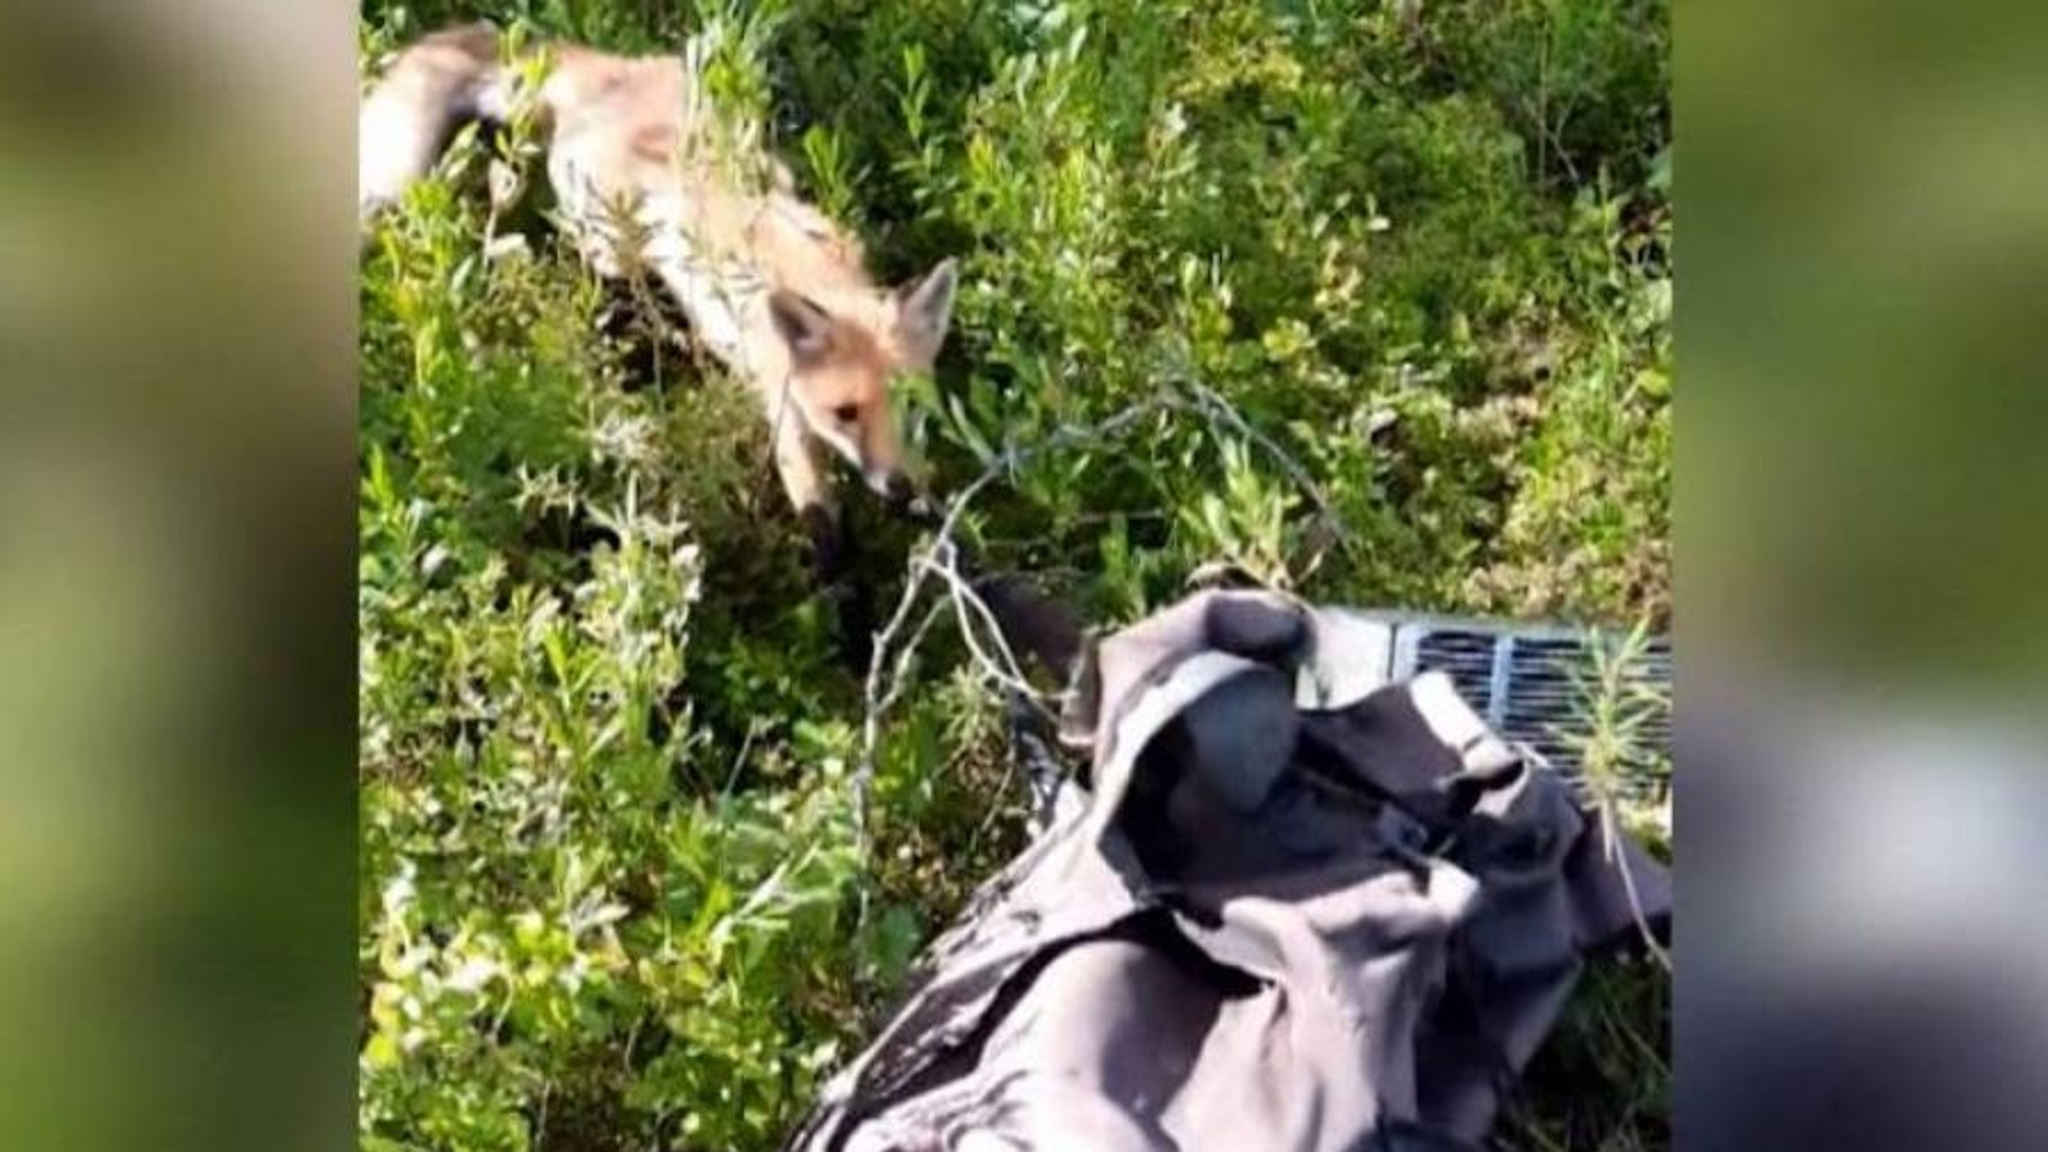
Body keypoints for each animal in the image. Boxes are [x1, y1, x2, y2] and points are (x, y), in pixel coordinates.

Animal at [358, 22, 956, 571]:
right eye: (846, 412)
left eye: (910, 402)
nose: (900, 487)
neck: (809, 274)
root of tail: (610, 72)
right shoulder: (786, 416)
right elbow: (828, 541)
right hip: (606, 241)